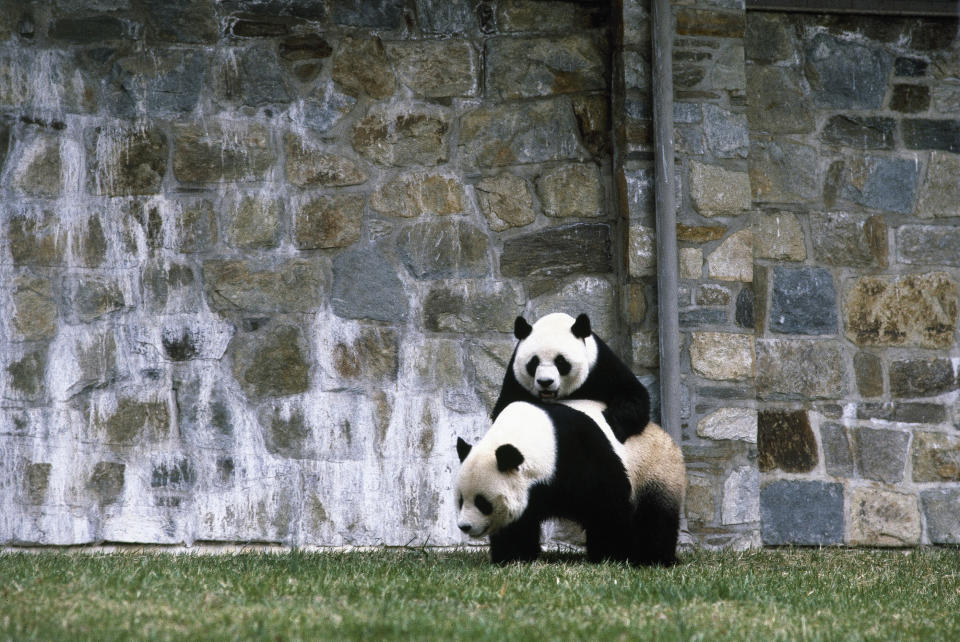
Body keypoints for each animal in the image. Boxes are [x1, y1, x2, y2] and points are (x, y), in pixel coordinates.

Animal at [456, 400, 688, 564]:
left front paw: (613, 554)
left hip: (655, 470)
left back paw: (655, 558)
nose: (464, 526)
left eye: (482, 503)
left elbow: (608, 506)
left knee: (655, 515)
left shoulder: (581, 451)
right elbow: (519, 522)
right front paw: (513, 556)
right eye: (460, 501)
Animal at [492, 312, 648, 442]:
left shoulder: (602, 365)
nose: (545, 382)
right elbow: (505, 407)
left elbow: (631, 393)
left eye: (560, 362)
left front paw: (614, 425)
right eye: (534, 362)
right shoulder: (515, 380)